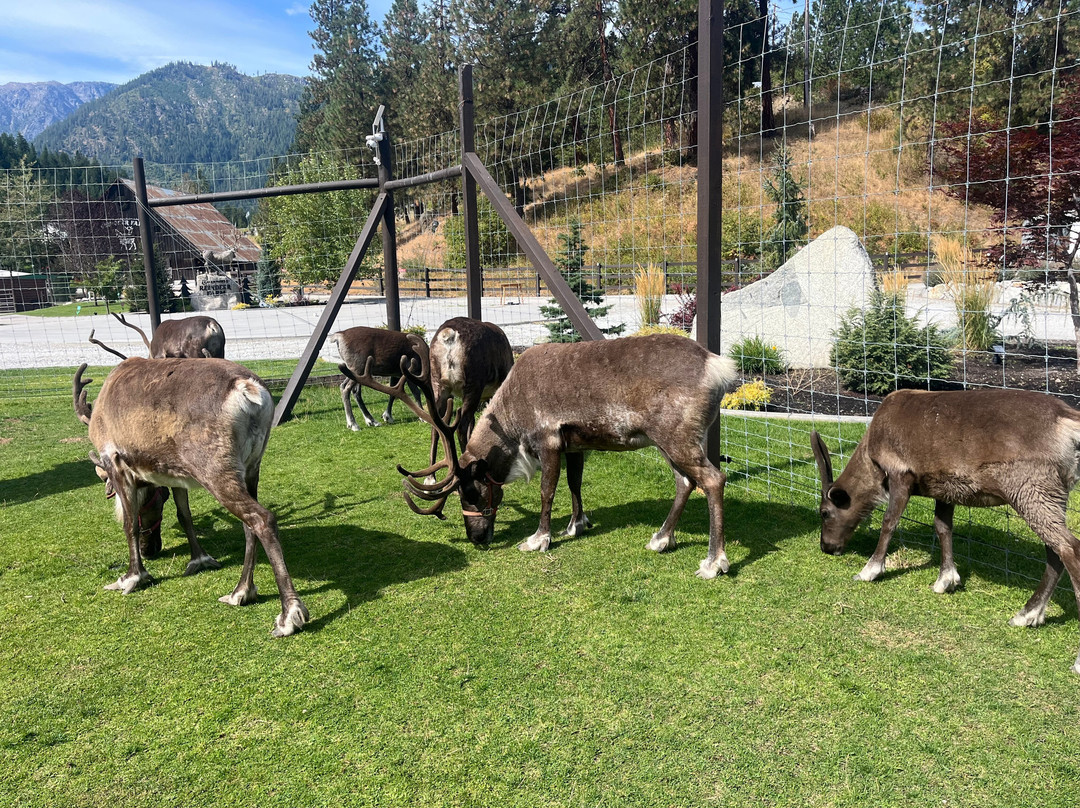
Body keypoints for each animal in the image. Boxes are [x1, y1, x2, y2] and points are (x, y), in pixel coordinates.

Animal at [72, 359, 308, 637]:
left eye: (152, 503)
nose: (150, 550)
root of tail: (247, 388)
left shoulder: (115, 462)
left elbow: (129, 525)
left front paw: (132, 577)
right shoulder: (177, 476)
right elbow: (185, 516)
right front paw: (199, 560)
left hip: (215, 469)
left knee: (262, 518)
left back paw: (288, 615)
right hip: (252, 467)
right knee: (249, 525)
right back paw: (240, 592)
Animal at [344, 333, 739, 579]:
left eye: (471, 491)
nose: (475, 539)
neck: (511, 419)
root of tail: (717, 367)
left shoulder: (547, 439)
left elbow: (547, 491)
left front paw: (538, 538)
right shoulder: (575, 444)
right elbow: (575, 484)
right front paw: (577, 524)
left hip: (674, 436)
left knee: (712, 478)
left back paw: (713, 561)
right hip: (671, 440)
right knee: (685, 481)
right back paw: (661, 539)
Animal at [810, 388, 1080, 674]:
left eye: (824, 512)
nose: (826, 547)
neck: (872, 458)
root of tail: (1069, 421)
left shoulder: (900, 473)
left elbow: (889, 522)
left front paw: (870, 570)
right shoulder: (944, 487)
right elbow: (943, 528)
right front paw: (946, 579)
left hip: (1031, 487)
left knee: (1069, 548)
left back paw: (1073, 658)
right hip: (1053, 492)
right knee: (1055, 552)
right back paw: (1027, 614)